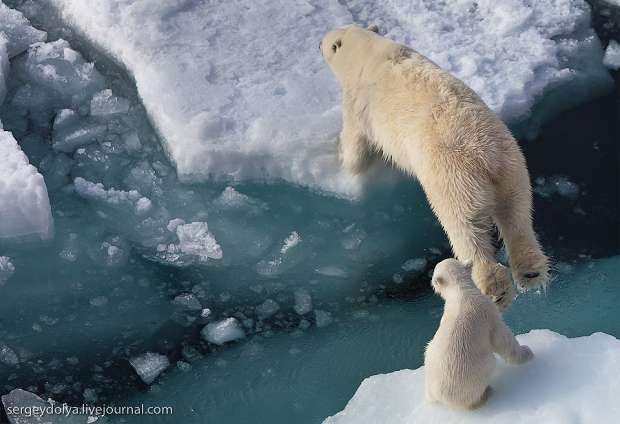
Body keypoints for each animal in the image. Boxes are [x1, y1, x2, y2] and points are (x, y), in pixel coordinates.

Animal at [322, 24, 548, 308]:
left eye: (325, 42)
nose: (317, 43)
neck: (371, 53)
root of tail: (484, 154)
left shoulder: (357, 103)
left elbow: (356, 146)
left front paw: (339, 160)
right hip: (512, 166)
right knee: (517, 212)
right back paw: (531, 271)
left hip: (455, 179)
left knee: (465, 227)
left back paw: (493, 288)